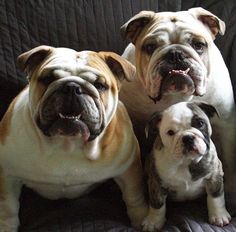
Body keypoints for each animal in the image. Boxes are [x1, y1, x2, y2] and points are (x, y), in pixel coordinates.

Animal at [0, 45, 148, 232]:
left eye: (100, 85)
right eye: (47, 79)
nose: (72, 87)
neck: (68, 144)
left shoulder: (128, 170)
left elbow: (134, 196)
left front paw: (142, 218)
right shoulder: (7, 173)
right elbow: (8, 206)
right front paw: (6, 225)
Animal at [121, 6, 235, 181]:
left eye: (198, 45)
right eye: (150, 47)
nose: (175, 54)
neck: (175, 95)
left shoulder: (226, 126)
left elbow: (229, 161)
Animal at [142, 102, 230, 232]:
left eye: (200, 123)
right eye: (170, 132)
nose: (187, 137)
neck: (185, 162)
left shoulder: (214, 176)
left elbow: (216, 196)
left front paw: (219, 215)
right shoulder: (156, 183)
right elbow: (157, 204)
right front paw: (153, 221)